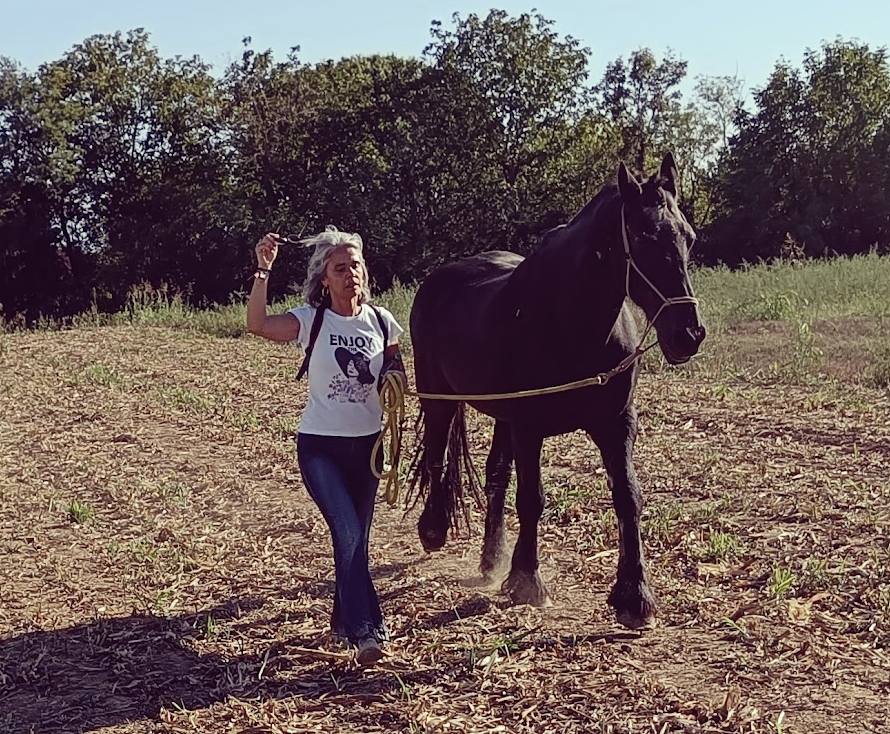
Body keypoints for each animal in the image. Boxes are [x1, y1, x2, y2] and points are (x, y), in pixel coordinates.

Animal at [407, 153, 705, 629]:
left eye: (689, 238)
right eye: (643, 237)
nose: (688, 334)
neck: (571, 324)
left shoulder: (615, 424)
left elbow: (628, 497)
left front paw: (634, 595)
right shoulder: (529, 426)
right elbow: (532, 498)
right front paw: (527, 580)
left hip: (501, 415)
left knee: (495, 475)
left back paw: (491, 560)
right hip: (438, 396)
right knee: (438, 456)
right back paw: (434, 529)